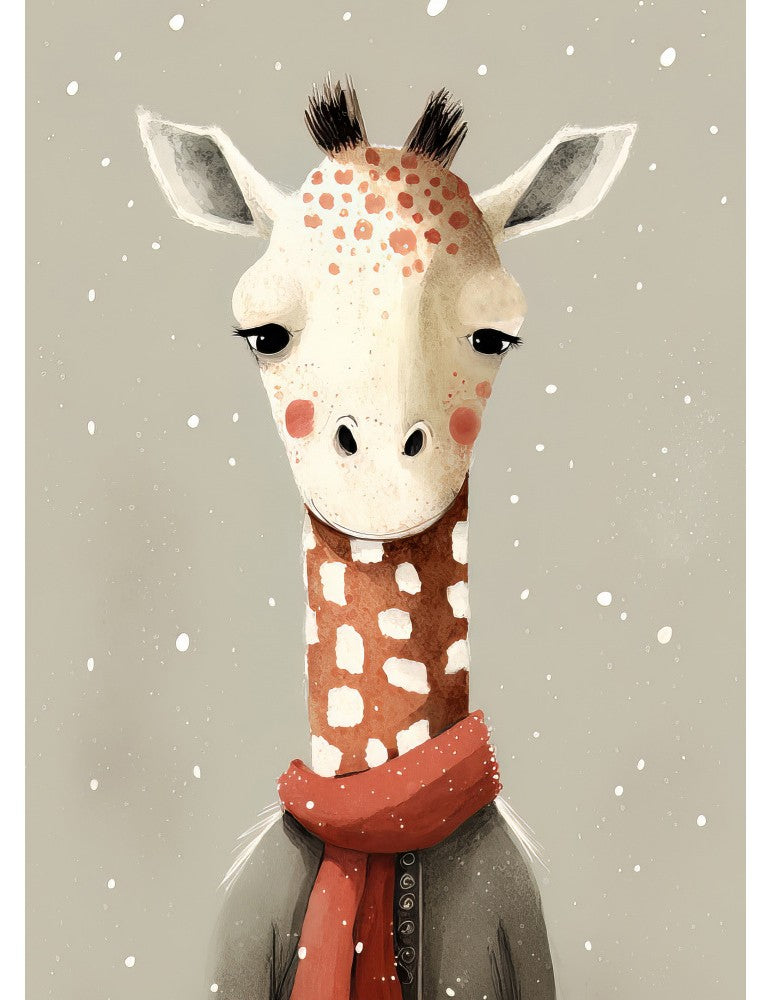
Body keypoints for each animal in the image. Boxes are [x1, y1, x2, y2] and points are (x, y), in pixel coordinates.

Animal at [138, 79, 635, 1000]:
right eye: (263, 332)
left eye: (494, 335)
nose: (376, 465)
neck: (381, 817)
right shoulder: (234, 952)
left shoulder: (523, 941)